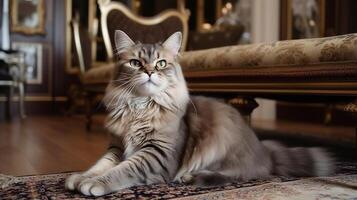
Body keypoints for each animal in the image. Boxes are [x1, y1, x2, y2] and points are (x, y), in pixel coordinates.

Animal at [64, 30, 334, 196]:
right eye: (135, 63)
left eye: (161, 63)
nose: (150, 72)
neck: (141, 106)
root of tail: (263, 148)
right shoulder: (116, 146)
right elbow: (101, 164)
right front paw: (79, 178)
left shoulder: (156, 153)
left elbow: (122, 170)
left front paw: (93, 184)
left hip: (224, 142)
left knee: (240, 175)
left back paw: (193, 178)